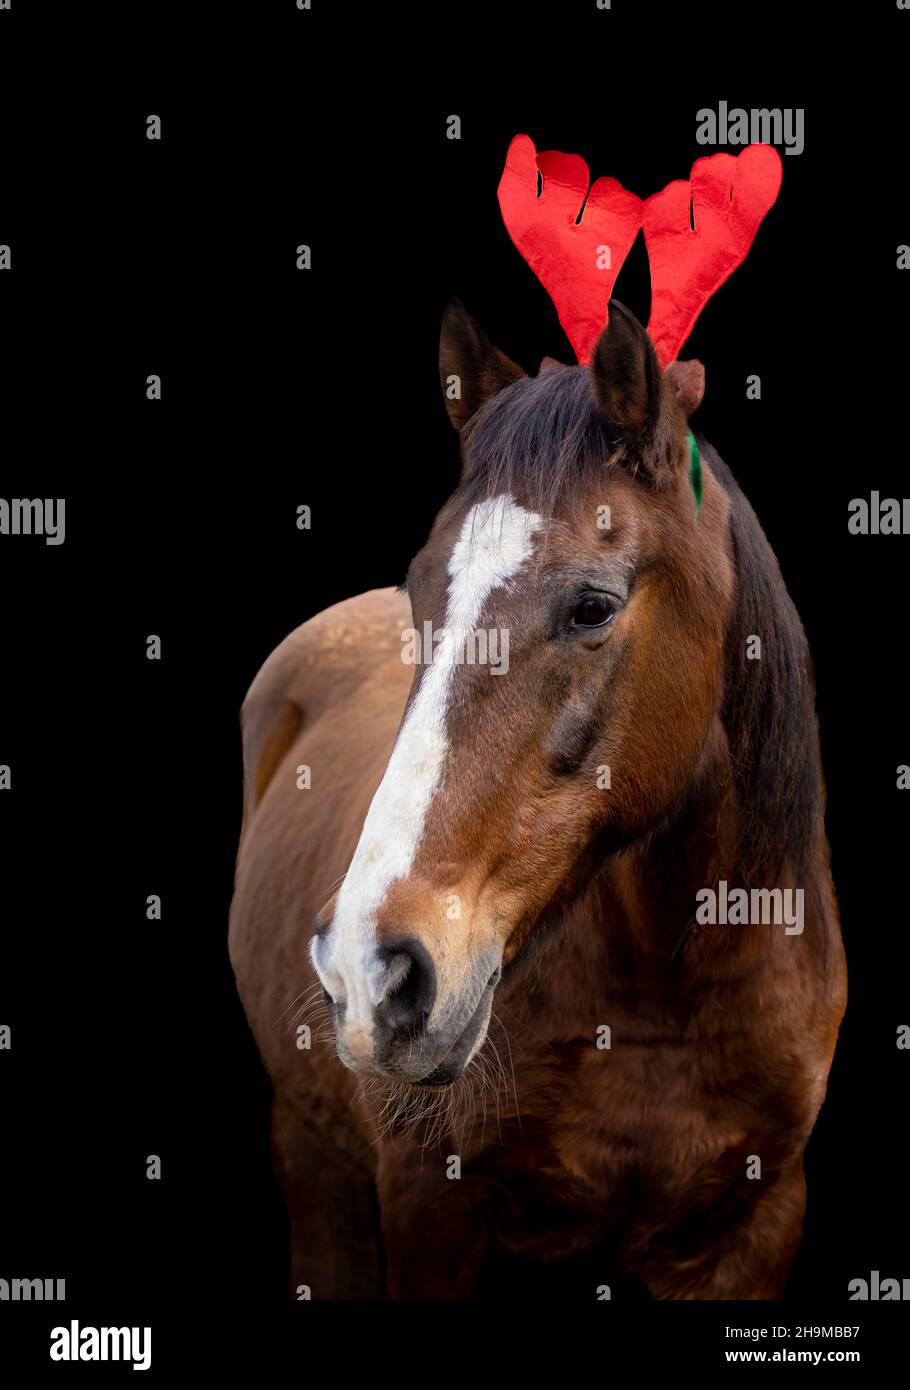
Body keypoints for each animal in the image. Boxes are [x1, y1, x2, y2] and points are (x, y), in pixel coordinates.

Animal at [229, 296, 844, 1301]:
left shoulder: (757, 1226)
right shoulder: (430, 1210)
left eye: (592, 606)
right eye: (421, 592)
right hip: (307, 1149)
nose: (370, 971)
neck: (665, 1005)